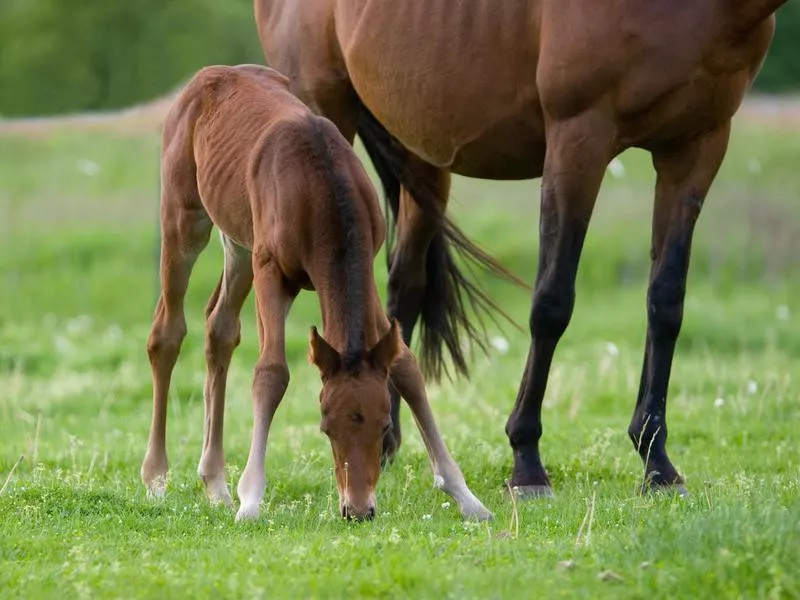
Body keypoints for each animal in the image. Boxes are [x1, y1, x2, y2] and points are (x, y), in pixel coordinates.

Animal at [141, 65, 494, 524]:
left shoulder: (366, 264)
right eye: (325, 427)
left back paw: (215, 483)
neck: (319, 185)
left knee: (219, 329)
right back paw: (156, 478)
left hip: (238, 244)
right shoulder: (271, 269)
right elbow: (271, 372)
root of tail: (210, 75)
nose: (358, 510)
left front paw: (467, 497)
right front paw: (251, 500)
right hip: (185, 220)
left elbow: (405, 366)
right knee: (167, 332)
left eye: (384, 427)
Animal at [256, 0, 788, 496]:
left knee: (402, 290)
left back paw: (384, 443)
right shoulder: (579, 139)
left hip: (422, 156)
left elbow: (666, 303)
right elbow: (552, 303)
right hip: (327, 115)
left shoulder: (695, 147)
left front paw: (657, 463)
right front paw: (527, 461)